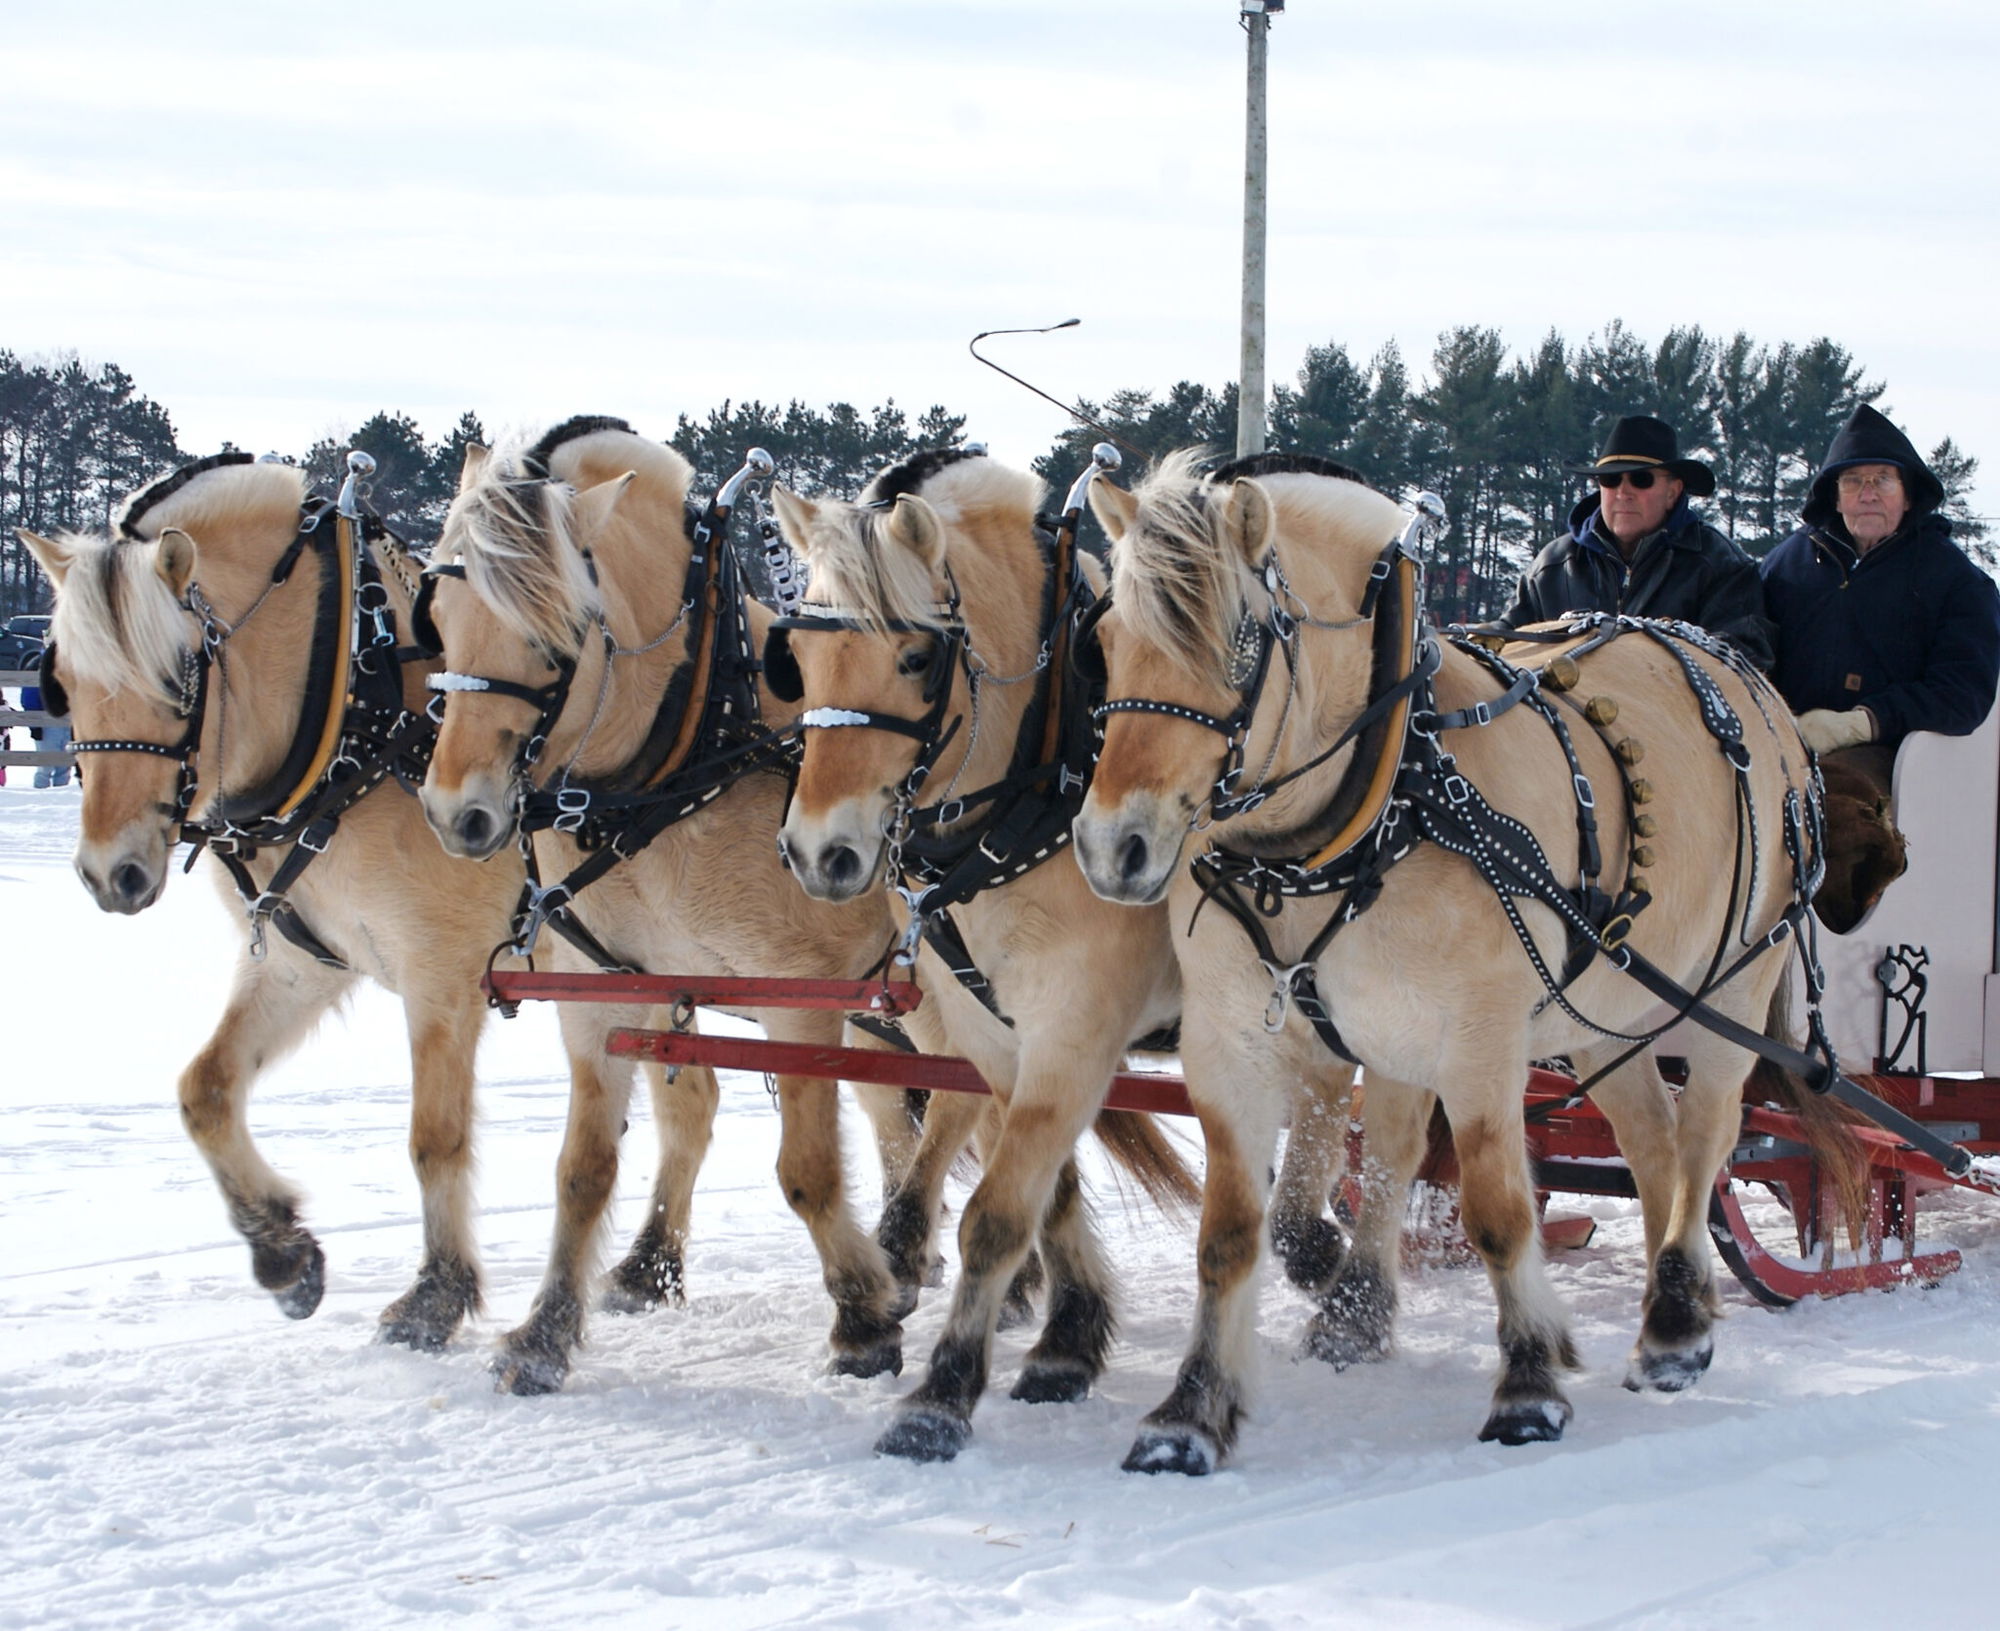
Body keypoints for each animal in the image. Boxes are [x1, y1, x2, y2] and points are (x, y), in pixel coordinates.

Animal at [18, 455, 713, 1350]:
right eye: (63, 682)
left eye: (178, 676)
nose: (111, 874)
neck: (358, 720)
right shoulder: (301, 962)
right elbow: (205, 1089)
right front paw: (284, 1253)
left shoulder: (443, 976)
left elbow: (435, 1138)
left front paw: (435, 1294)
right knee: (694, 1101)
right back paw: (648, 1265)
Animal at [413, 418, 1022, 1394]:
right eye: (438, 618)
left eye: (553, 635)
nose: (455, 813)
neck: (676, 760)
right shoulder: (602, 994)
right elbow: (583, 1168)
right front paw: (546, 1331)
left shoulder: (801, 997)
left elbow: (806, 1170)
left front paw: (860, 1317)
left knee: (964, 1099)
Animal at [766, 447, 1365, 1464]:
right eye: (798, 658)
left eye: (917, 657)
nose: (820, 854)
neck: (1036, 782)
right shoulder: (997, 1032)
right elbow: (1045, 1188)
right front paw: (1069, 1339)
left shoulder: (1076, 1022)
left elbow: (1000, 1210)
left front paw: (941, 1398)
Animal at [1072, 452, 1821, 1472]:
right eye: (1107, 636)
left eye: (1238, 644)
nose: (1115, 848)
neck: (1378, 803)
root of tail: (1748, 678)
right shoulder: (1236, 1039)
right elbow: (1234, 1230)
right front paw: (1191, 1411)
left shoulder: (1480, 1039)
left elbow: (1499, 1210)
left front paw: (1529, 1384)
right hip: (1602, 1014)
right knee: (1650, 1143)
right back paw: (1672, 1304)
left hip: (1728, 989)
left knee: (1706, 1133)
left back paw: (1672, 1324)